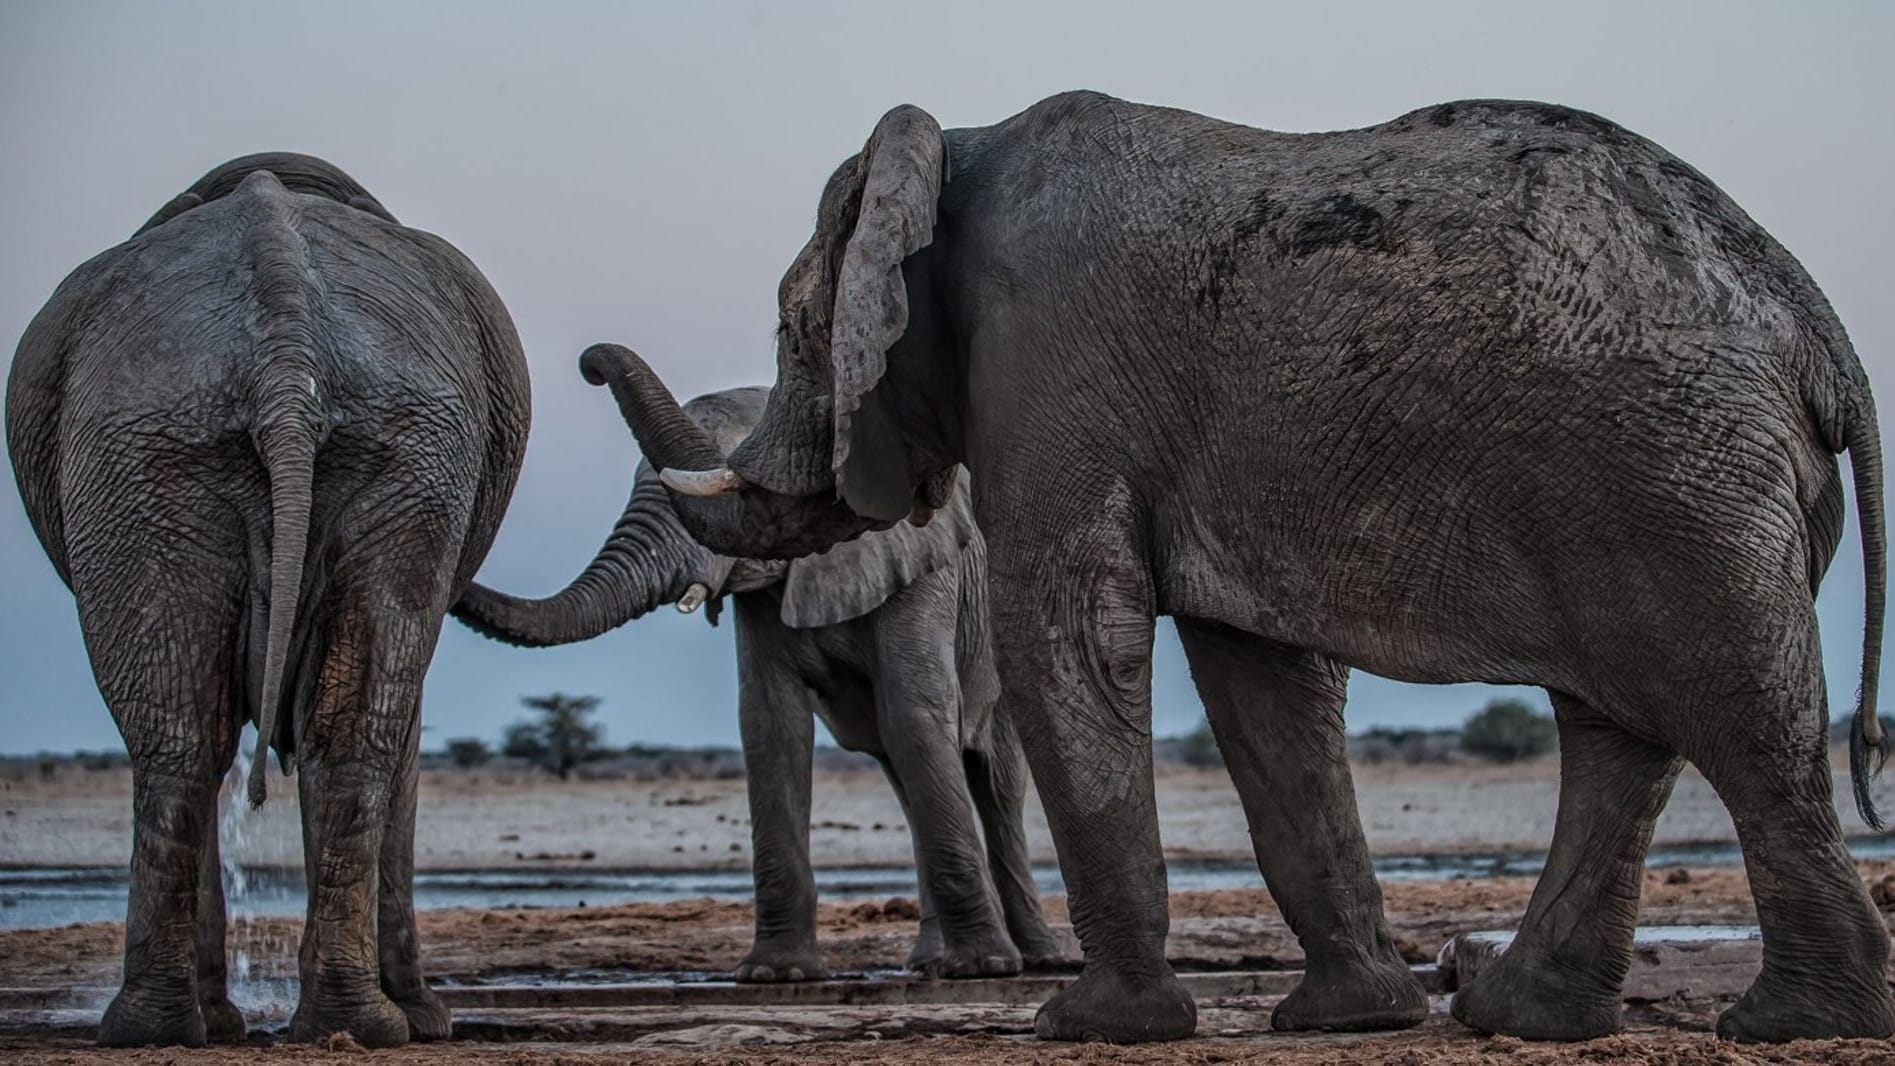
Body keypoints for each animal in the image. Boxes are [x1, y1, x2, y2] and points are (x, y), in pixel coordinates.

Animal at [7, 154, 530, 1045]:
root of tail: (286, 364)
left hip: (197, 454)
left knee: (204, 737)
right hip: (188, 451)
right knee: (242, 737)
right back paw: (261, 1025)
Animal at [449, 367, 1061, 984]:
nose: (590, 368)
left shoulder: (923, 571)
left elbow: (914, 713)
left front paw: (983, 968)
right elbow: (771, 725)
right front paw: (776, 975)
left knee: (995, 782)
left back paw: (1037, 958)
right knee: (907, 778)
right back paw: (930, 964)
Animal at [583, 89, 1887, 1045]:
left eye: (790, 327)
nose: (590, 359)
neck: (953, 144)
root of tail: (1817, 325)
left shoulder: (1046, 365)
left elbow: (1069, 632)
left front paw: (1091, 1027)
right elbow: (1261, 684)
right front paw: (1347, 1019)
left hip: (1682, 473)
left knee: (1736, 714)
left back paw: (1786, 1024)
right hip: (1667, 479)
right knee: (1623, 730)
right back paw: (1519, 1017)